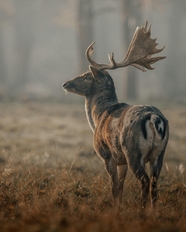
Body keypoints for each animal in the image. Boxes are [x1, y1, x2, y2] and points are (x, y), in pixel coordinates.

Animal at [62, 21, 169, 208]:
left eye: (86, 76)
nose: (65, 84)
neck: (98, 118)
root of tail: (154, 119)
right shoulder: (121, 160)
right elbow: (120, 186)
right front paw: (118, 207)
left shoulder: (107, 155)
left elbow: (114, 187)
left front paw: (115, 209)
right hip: (159, 154)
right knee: (155, 184)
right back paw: (153, 212)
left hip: (133, 151)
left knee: (145, 181)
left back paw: (142, 211)